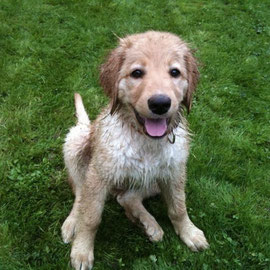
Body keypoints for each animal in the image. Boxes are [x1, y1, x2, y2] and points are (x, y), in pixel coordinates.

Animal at [61, 31, 209, 270]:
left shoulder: (175, 171)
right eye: (137, 73)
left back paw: (148, 224)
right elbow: (90, 216)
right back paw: (72, 223)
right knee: (80, 193)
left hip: (155, 179)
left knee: (127, 197)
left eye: (175, 72)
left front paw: (190, 232)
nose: (160, 103)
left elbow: (178, 207)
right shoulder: (98, 175)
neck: (144, 139)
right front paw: (82, 250)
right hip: (75, 142)